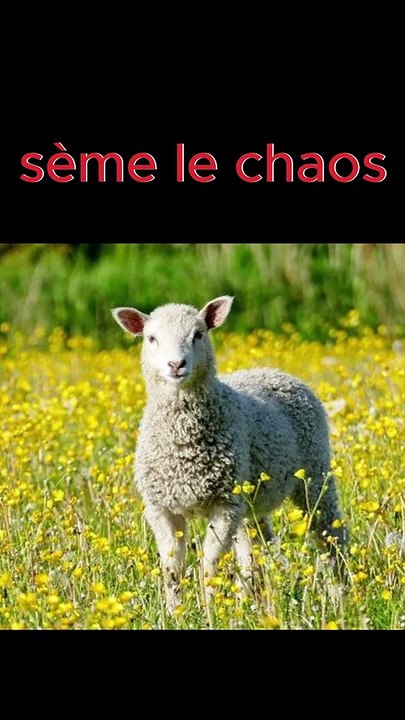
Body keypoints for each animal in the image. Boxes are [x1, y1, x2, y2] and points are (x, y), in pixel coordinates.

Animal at [112, 296, 347, 613]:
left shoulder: (224, 505)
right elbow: (172, 567)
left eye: (198, 334)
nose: (176, 364)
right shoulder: (161, 507)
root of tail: (275, 371)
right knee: (256, 550)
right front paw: (175, 613)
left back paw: (342, 593)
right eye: (151, 338)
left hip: (314, 473)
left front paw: (210, 610)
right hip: (250, 501)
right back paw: (253, 603)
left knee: (330, 534)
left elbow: (209, 565)